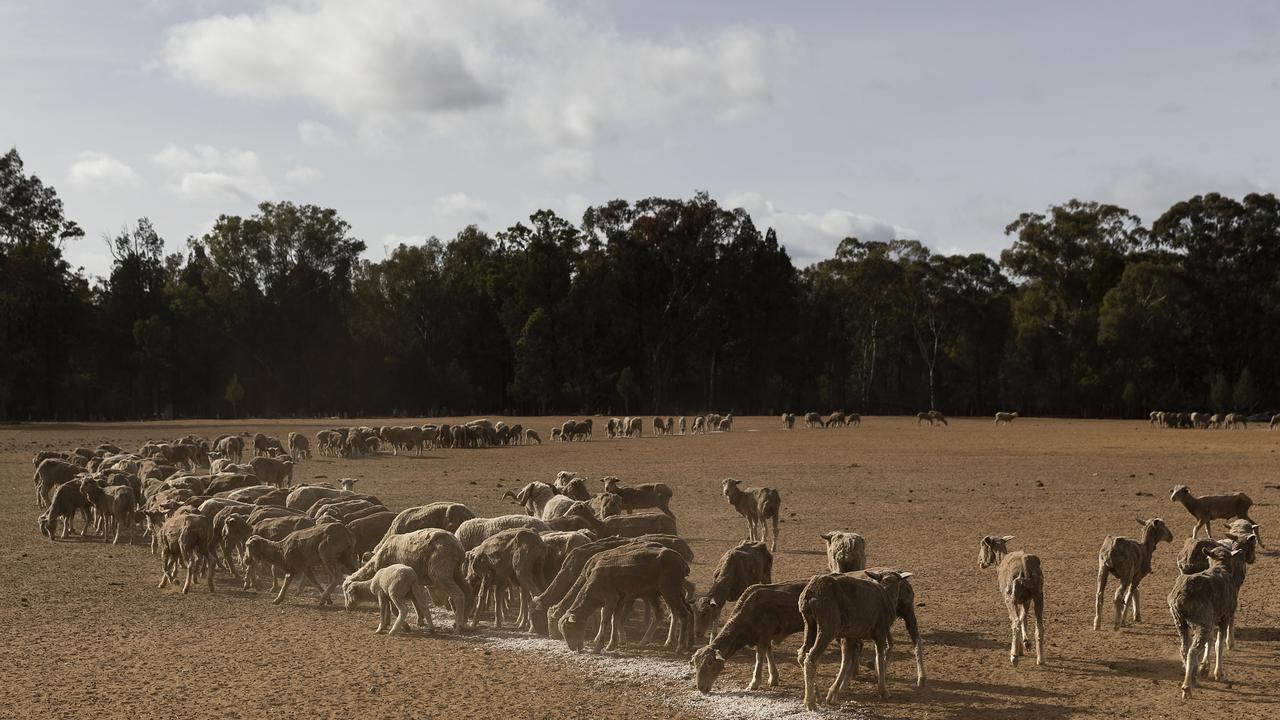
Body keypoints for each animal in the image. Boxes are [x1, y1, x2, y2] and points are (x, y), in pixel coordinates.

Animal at [793, 568, 916, 702]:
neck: (888, 593)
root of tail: (811, 590)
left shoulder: (850, 635)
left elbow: (846, 660)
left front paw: (834, 692)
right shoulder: (880, 632)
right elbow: (879, 659)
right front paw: (883, 691)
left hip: (809, 623)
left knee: (802, 654)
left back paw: (817, 694)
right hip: (828, 626)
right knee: (811, 659)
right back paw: (810, 701)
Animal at [972, 535, 1044, 666]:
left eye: (982, 545)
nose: (979, 561)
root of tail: (1025, 567)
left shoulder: (1013, 600)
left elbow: (1017, 619)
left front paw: (1019, 649)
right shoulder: (1026, 599)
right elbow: (1023, 617)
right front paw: (1026, 643)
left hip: (1010, 598)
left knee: (1015, 623)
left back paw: (1014, 657)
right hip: (1038, 595)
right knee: (1039, 625)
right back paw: (1041, 659)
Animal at [1172, 543, 1239, 696]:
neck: (1220, 566)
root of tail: (1181, 596)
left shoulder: (1212, 620)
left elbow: (1210, 641)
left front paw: (1204, 668)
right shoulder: (1224, 618)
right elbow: (1218, 644)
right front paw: (1218, 673)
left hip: (1180, 621)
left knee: (1184, 649)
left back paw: (1192, 677)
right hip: (1202, 622)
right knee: (1193, 651)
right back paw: (1187, 687)